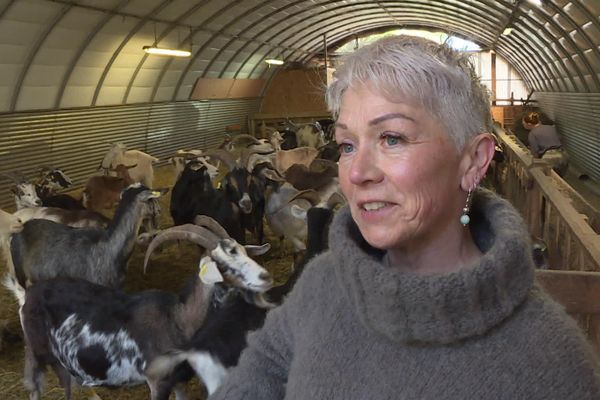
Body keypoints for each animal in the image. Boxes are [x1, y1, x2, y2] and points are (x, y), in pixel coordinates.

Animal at [5, 217, 274, 400]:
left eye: (244, 251)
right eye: (221, 263)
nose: (265, 277)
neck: (178, 319)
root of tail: (26, 295)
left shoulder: (179, 381)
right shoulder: (157, 381)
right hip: (36, 351)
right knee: (34, 387)